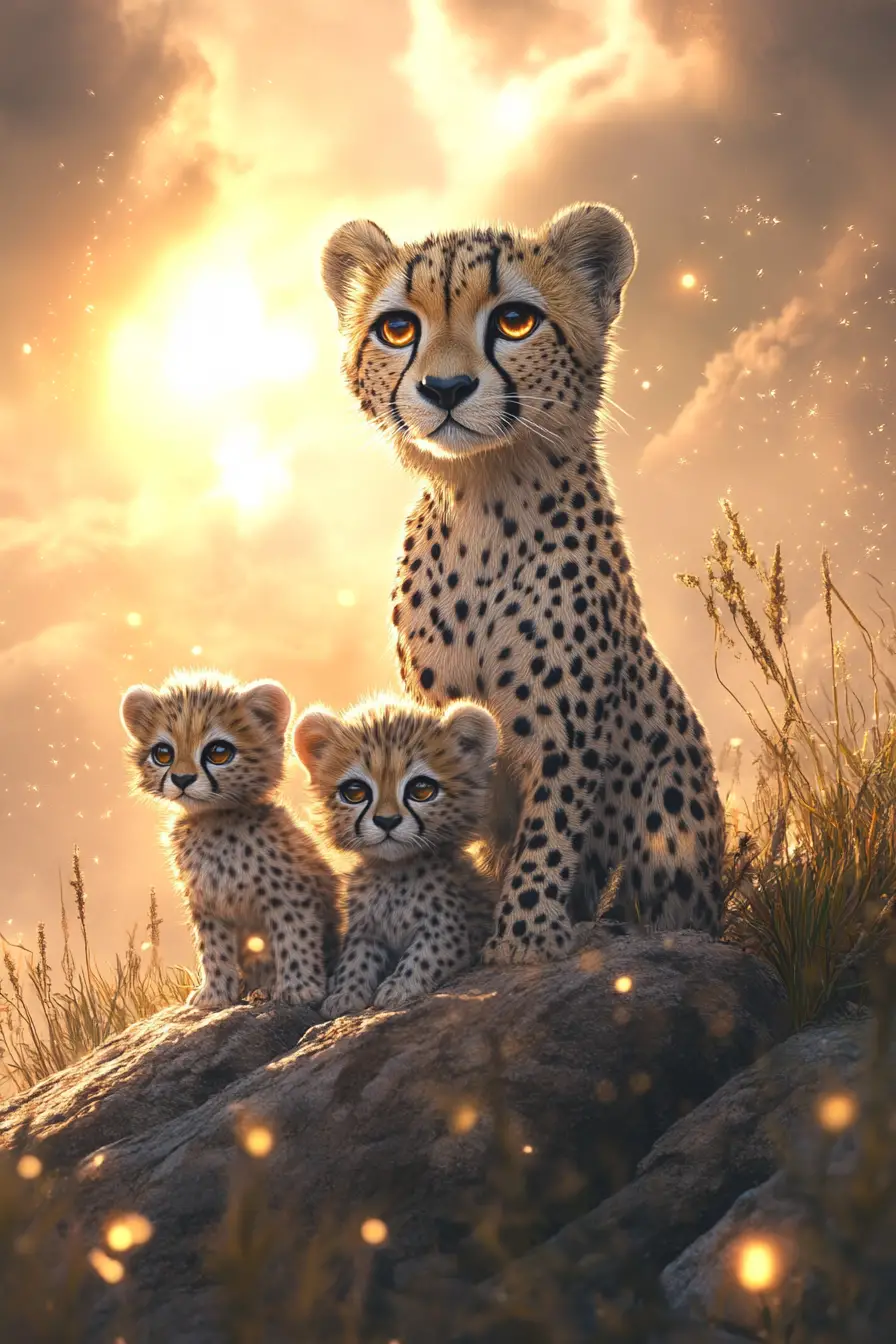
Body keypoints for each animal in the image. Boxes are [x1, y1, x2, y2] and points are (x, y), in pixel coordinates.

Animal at [120, 670, 339, 1010]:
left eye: (218, 752)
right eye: (163, 753)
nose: (182, 779)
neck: (214, 821)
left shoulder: (291, 895)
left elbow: (294, 937)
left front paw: (299, 988)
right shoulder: (207, 903)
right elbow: (213, 949)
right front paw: (214, 994)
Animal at [294, 695, 500, 1016]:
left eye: (422, 790)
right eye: (355, 792)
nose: (387, 821)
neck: (394, 873)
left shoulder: (449, 927)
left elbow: (426, 953)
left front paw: (399, 987)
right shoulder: (365, 928)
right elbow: (354, 959)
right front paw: (344, 993)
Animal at [320, 201, 726, 965]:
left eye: (514, 321)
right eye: (398, 328)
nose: (446, 390)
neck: (483, 495)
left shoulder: (565, 732)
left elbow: (550, 834)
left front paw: (526, 936)